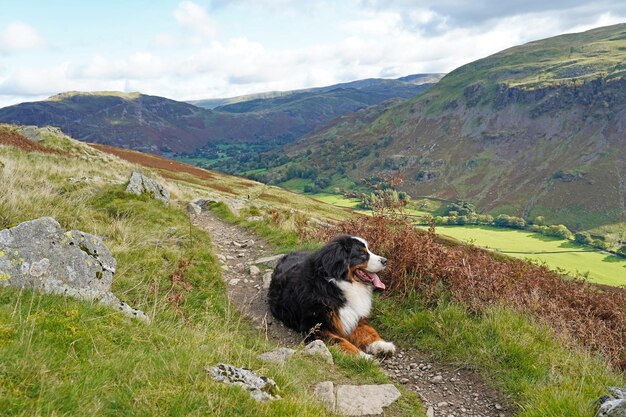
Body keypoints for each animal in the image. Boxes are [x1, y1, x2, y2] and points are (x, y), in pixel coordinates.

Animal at [266, 234, 394, 358]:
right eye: (362, 254)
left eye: (368, 250)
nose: (385, 260)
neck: (335, 285)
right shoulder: (316, 328)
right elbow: (340, 341)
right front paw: (363, 357)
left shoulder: (354, 316)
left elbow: (369, 331)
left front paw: (382, 345)